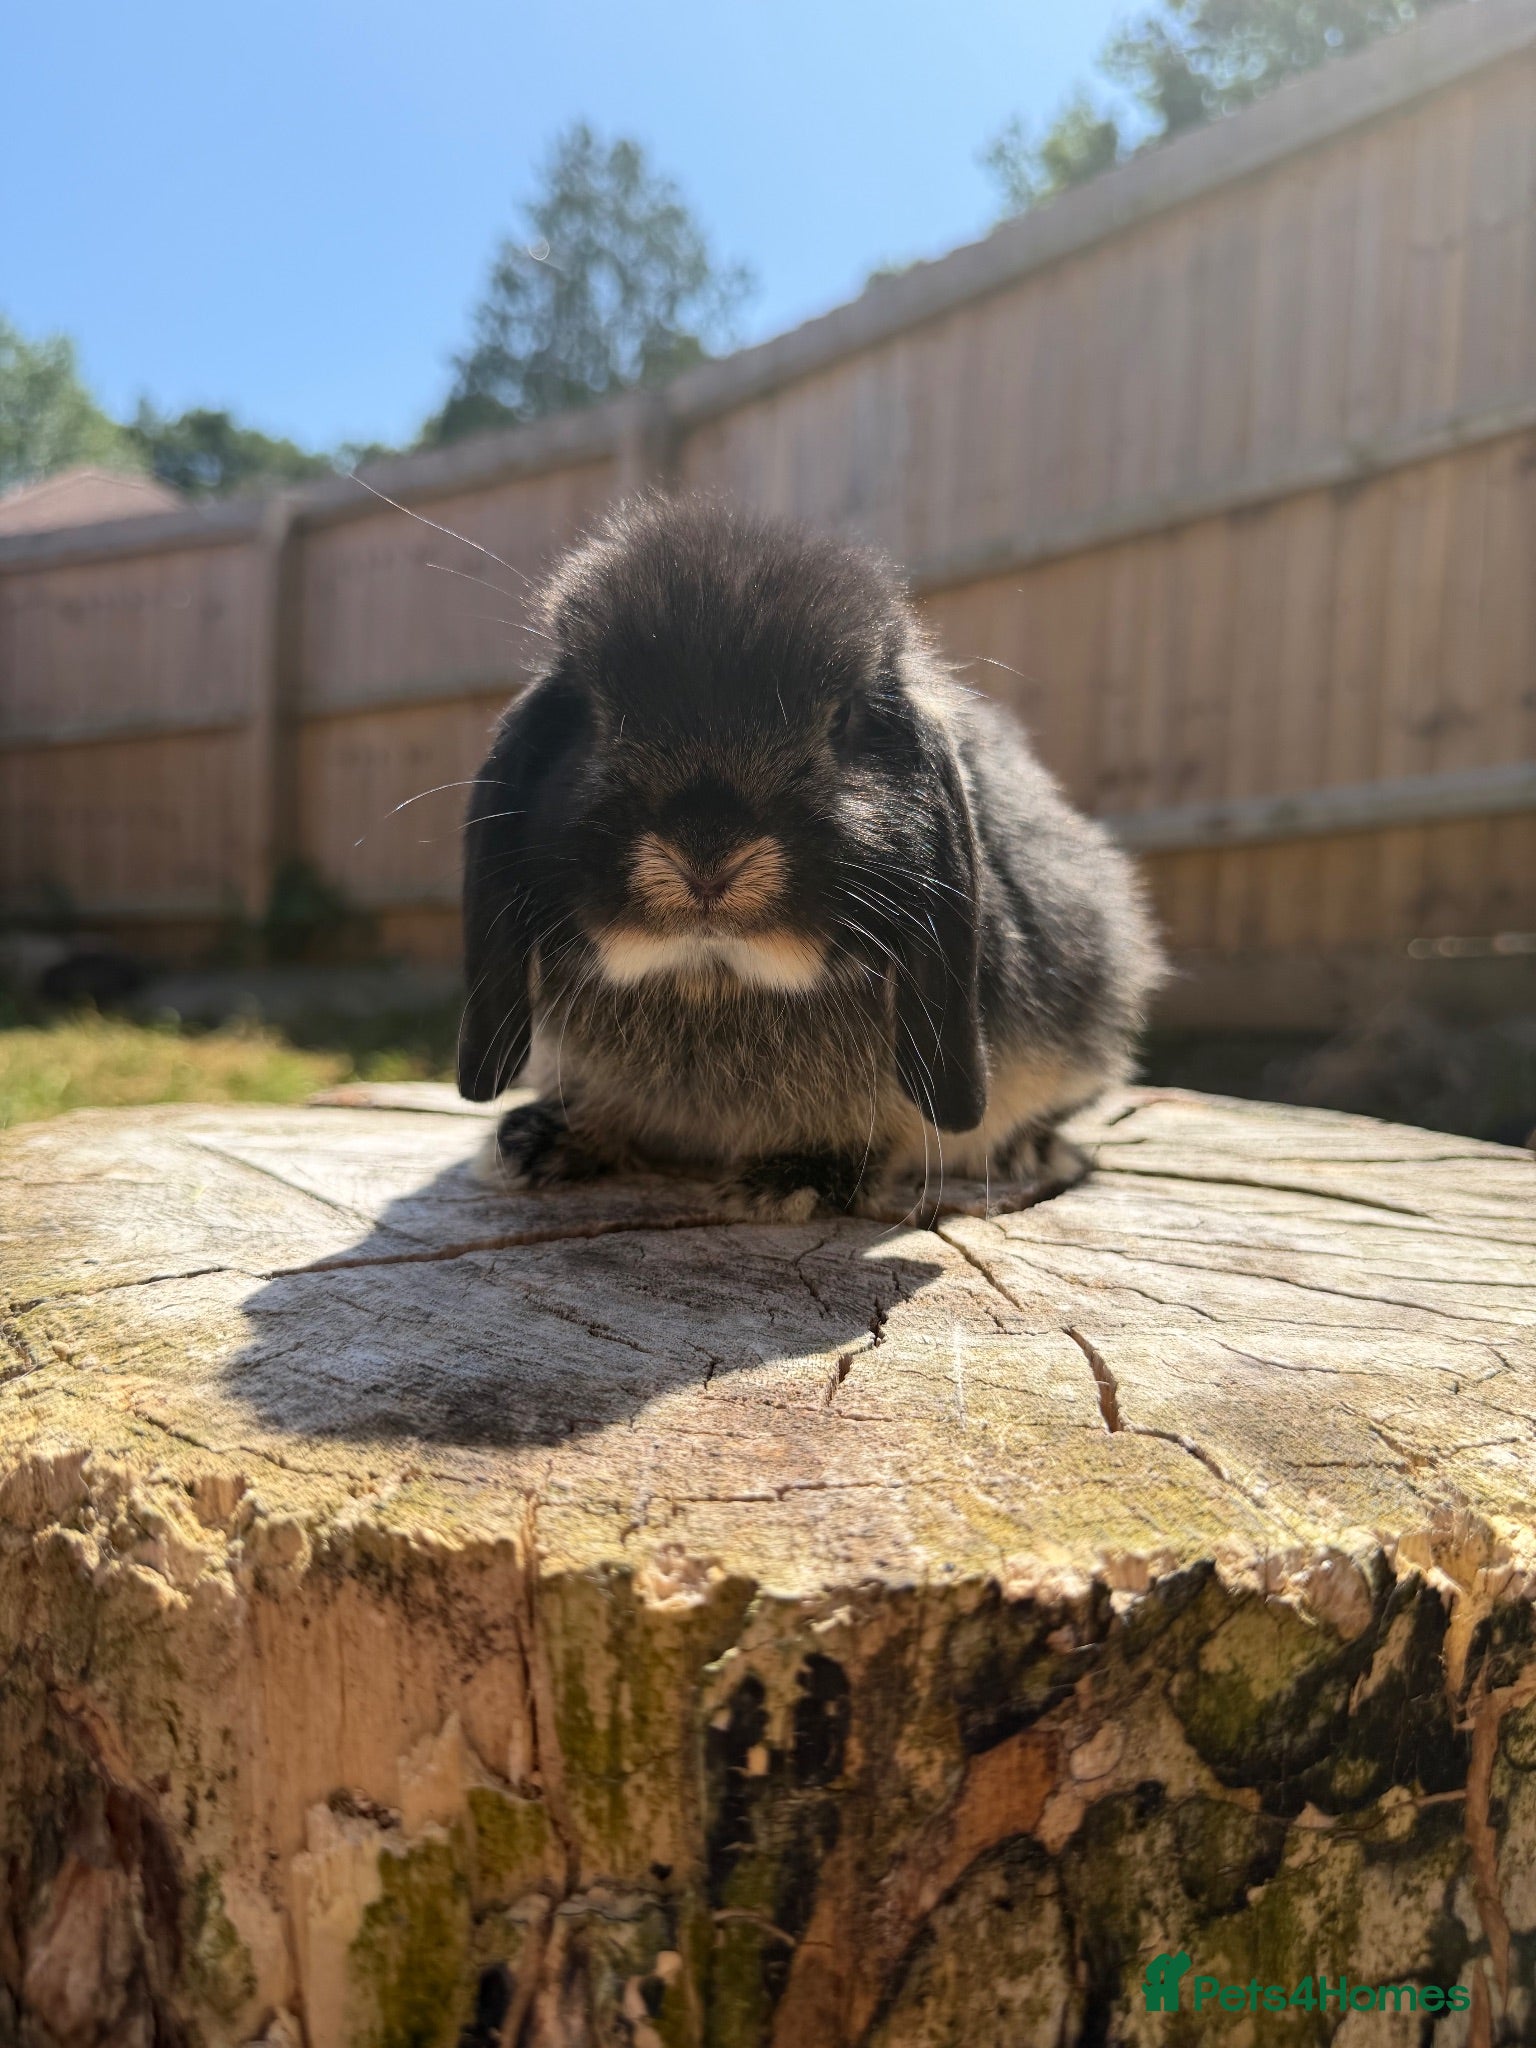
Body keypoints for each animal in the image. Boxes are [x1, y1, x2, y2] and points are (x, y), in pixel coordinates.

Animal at [458, 494, 1164, 1219]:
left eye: (842, 721)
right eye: (594, 719)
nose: (707, 852)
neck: (712, 975)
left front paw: (792, 1180)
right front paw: (536, 1141)